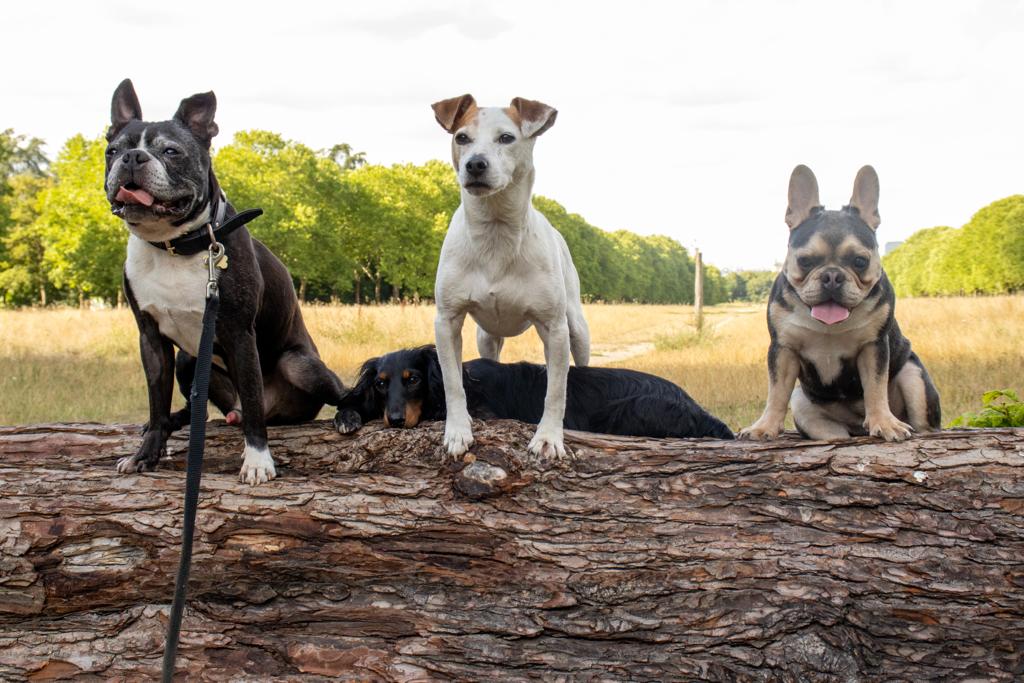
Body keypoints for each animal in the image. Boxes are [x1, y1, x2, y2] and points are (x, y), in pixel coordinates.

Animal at [105, 80, 348, 483]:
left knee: (333, 391)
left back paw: (348, 414)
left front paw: (258, 461)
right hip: (188, 360)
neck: (176, 245)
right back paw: (178, 421)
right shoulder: (151, 339)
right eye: (112, 151)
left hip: (299, 364)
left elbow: (251, 399)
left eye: (171, 151)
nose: (133, 159)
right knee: (199, 405)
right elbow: (156, 401)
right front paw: (147, 452)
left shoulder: (238, 333)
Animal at [432, 93, 593, 462]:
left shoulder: (555, 327)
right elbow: (452, 382)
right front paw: (458, 431)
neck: (495, 232)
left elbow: (556, 390)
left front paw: (548, 438)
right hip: (486, 336)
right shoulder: (447, 320)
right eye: (461, 137)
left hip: (577, 328)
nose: (475, 164)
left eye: (506, 138)